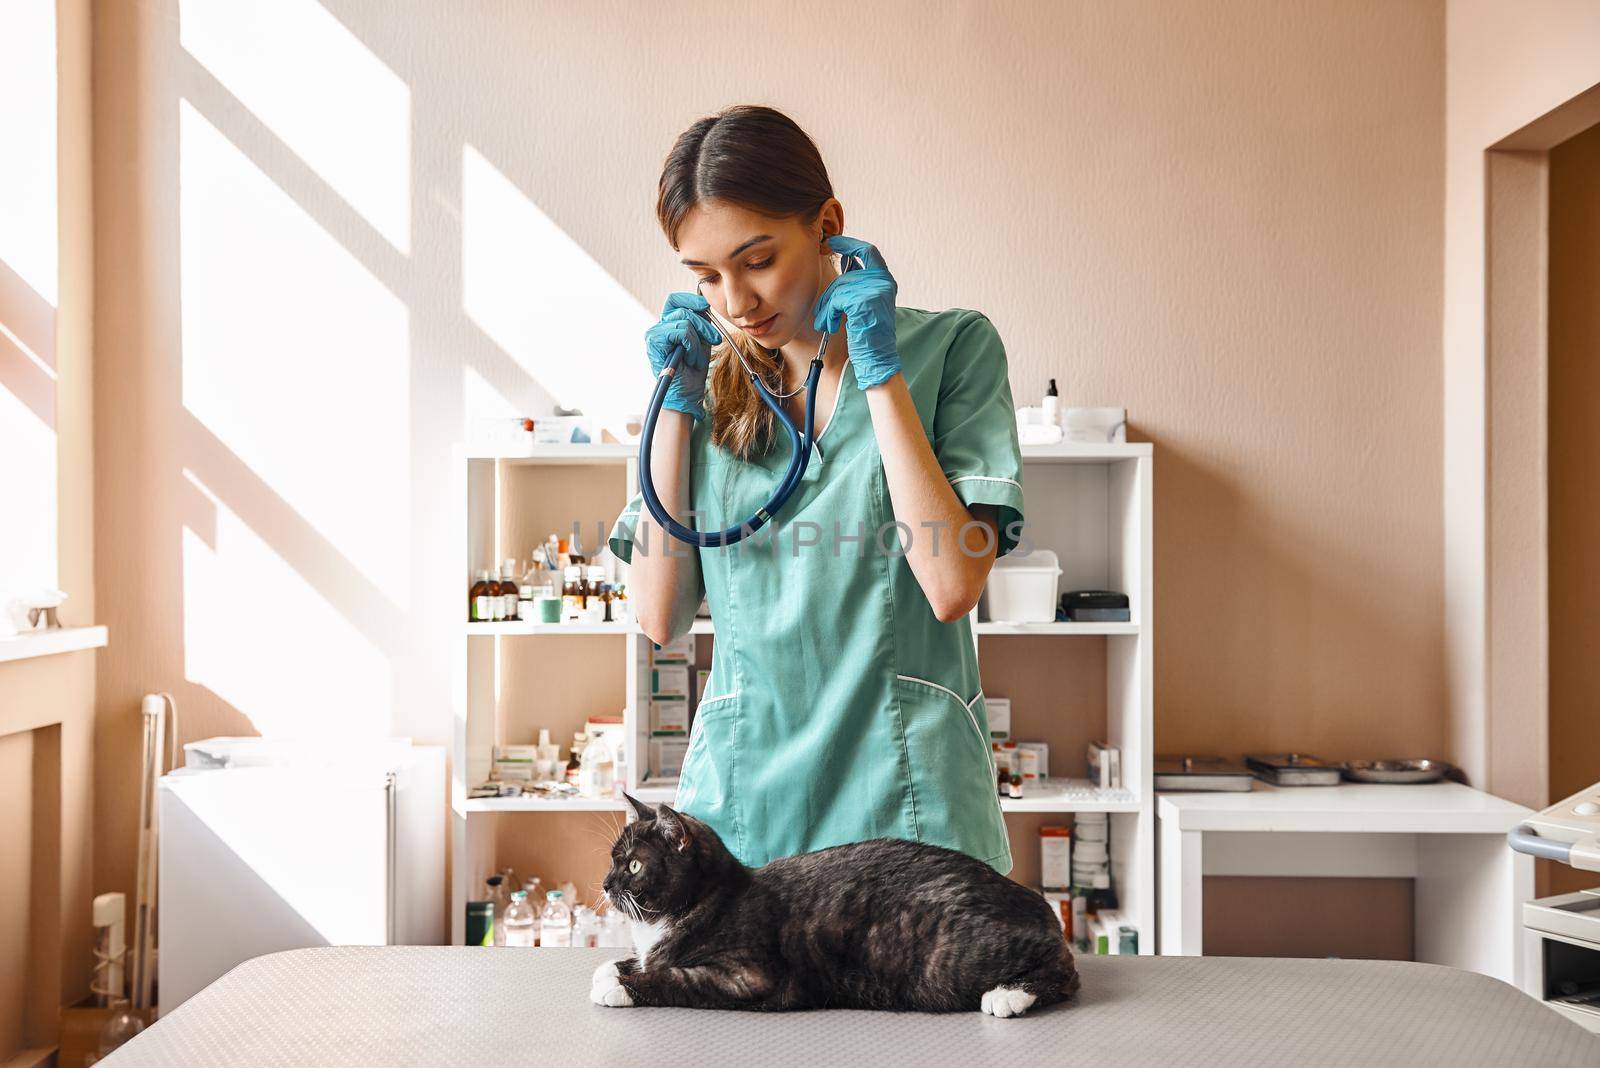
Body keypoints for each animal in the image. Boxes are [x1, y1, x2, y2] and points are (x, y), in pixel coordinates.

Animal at [588, 793, 1075, 1016]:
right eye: (613, 859)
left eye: (634, 865)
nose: (607, 883)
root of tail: (1035, 903)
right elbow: (641, 961)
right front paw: (611, 968)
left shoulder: (749, 975)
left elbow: (673, 977)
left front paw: (620, 986)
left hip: (952, 959)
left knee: (1063, 967)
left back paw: (1009, 994)